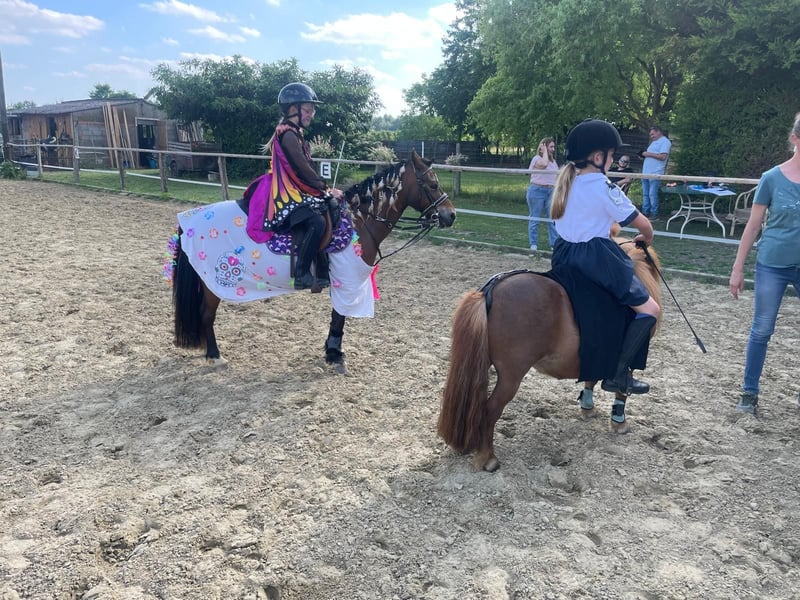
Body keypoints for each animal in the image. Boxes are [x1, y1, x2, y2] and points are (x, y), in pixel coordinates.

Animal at [165, 150, 456, 373]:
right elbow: (339, 317)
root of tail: (190, 219)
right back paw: (215, 356)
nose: (450, 215)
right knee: (206, 315)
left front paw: (332, 351)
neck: (358, 222)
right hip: (213, 284)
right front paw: (334, 354)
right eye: (432, 185)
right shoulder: (347, 281)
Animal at [437, 234, 662, 472]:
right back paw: (487, 458)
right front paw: (619, 422)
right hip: (511, 376)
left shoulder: (596, 354)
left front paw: (588, 408)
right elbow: (622, 386)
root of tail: (490, 292)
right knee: (490, 409)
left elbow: (590, 378)